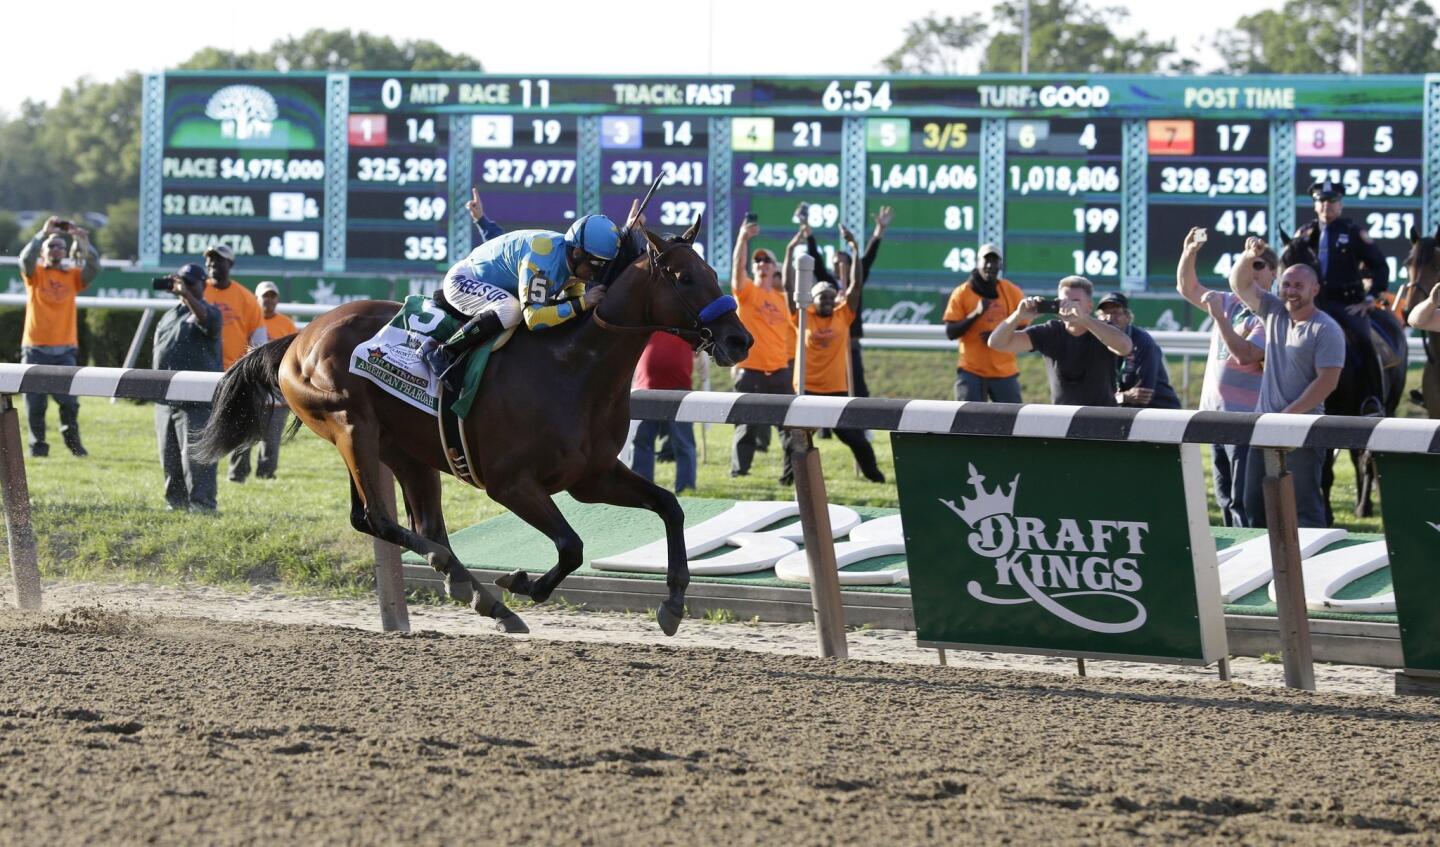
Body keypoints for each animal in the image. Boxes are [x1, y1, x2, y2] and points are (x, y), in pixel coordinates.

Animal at [194, 218, 754, 633]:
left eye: (713, 272)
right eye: (684, 278)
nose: (739, 340)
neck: (572, 367)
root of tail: (299, 337)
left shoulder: (591, 476)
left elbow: (670, 506)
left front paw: (674, 603)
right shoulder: (511, 484)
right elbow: (571, 546)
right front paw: (524, 583)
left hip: (404, 451)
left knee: (416, 523)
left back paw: (480, 595)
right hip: (351, 428)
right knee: (378, 519)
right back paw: (461, 577)